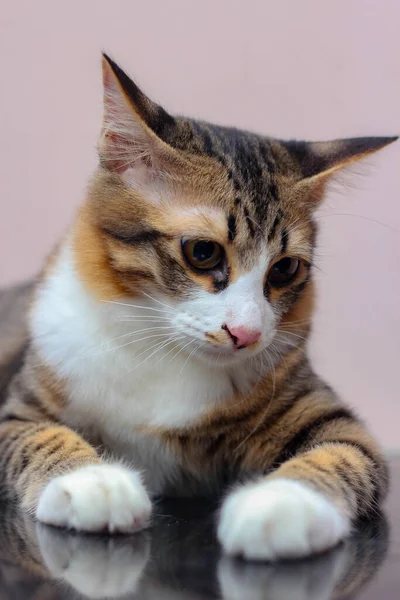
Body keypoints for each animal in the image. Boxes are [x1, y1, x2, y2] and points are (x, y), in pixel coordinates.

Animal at [0, 52, 396, 564]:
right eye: (203, 253)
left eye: (285, 269)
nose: (246, 334)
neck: (161, 348)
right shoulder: (20, 408)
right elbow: (41, 437)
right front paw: (93, 482)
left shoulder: (326, 415)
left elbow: (342, 453)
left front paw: (279, 506)